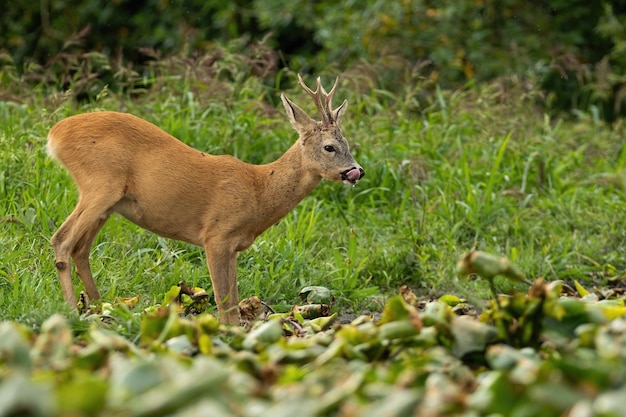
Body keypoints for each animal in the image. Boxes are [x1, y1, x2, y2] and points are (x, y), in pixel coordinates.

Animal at [48, 74, 364, 322]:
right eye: (329, 147)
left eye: (347, 143)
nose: (356, 171)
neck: (259, 191)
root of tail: (54, 134)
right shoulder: (216, 235)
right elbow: (224, 306)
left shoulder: (234, 246)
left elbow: (233, 303)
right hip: (101, 184)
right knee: (61, 240)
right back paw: (72, 310)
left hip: (109, 202)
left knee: (81, 249)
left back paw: (99, 307)